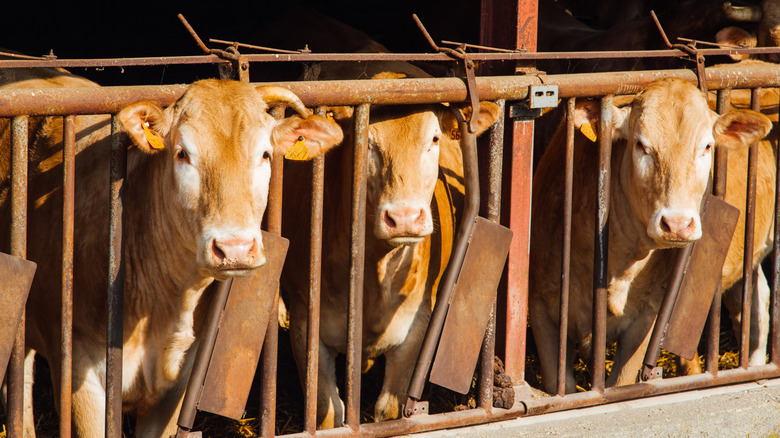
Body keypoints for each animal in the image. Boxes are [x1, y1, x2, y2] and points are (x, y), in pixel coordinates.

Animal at [0, 69, 343, 437]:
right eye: (182, 154)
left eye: (265, 154)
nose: (234, 248)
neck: (161, 304)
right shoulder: (80, 373)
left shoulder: (178, 386)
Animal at [528, 78, 773, 395]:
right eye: (640, 144)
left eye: (707, 146)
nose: (677, 224)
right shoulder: (541, 309)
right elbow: (561, 388)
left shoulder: (646, 319)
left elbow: (620, 381)